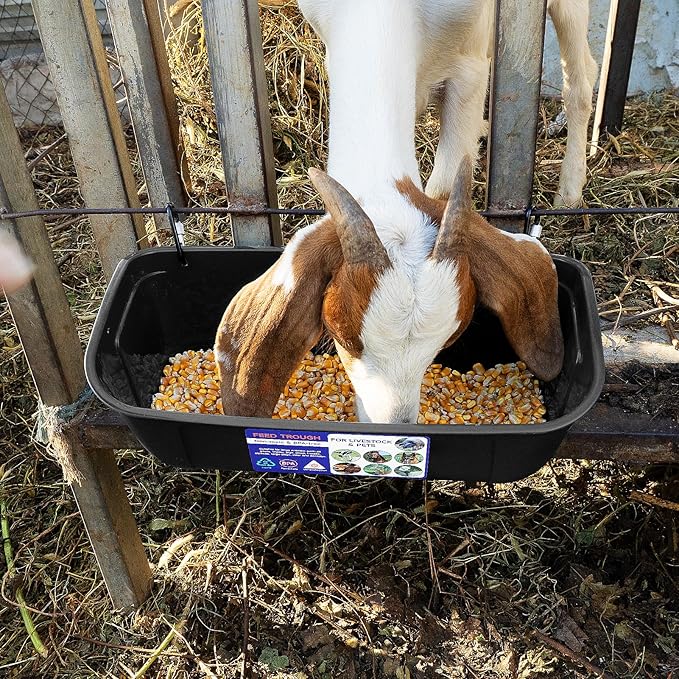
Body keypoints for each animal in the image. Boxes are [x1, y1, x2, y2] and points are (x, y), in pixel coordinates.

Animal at [215, 0, 574, 423]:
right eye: (339, 333)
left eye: (449, 338)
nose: (395, 424)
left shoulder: (470, 66)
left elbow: (443, 182)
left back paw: (570, 190)